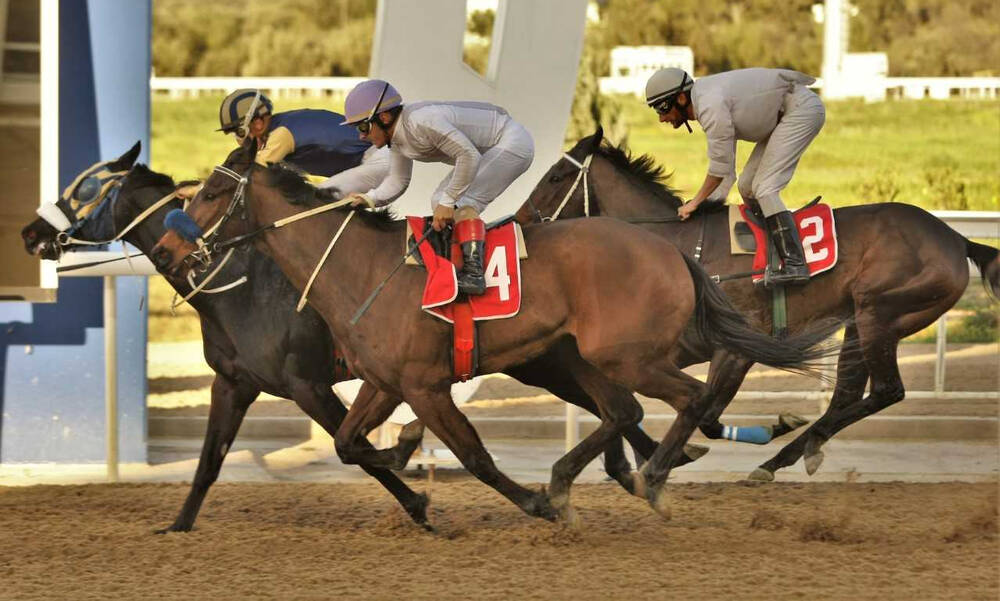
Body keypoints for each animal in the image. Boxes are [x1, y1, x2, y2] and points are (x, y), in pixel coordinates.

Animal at [150, 144, 836, 520]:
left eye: (209, 192)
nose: (163, 248)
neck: (359, 267)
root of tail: (670, 250)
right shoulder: (383, 382)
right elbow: (348, 443)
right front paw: (406, 462)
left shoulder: (425, 387)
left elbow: (474, 455)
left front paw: (529, 503)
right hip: (587, 358)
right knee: (624, 411)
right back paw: (589, 474)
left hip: (624, 354)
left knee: (686, 398)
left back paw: (654, 478)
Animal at [516, 129, 1000, 480]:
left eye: (555, 176)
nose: (519, 223)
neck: (680, 249)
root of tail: (956, 239)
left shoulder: (735, 348)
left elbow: (708, 415)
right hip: (858, 322)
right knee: (847, 394)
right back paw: (797, 453)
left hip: (879, 312)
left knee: (886, 391)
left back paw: (786, 454)